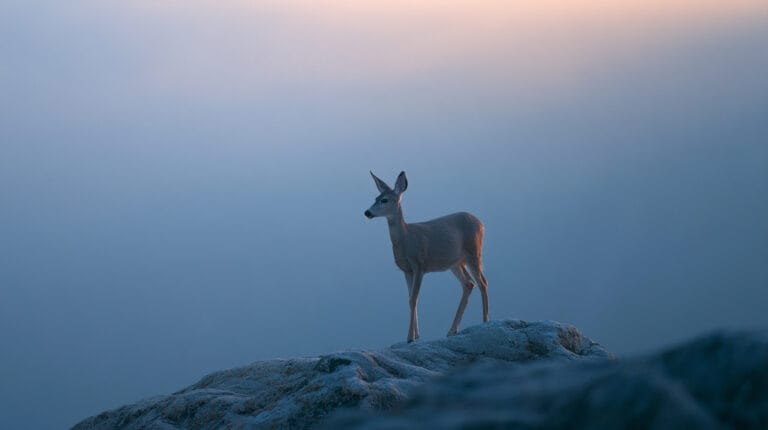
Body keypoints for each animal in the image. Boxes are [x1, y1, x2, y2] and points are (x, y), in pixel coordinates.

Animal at [364, 171, 489, 343]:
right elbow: (411, 298)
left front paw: (410, 337)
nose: (367, 212)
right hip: (455, 263)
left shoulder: (419, 265)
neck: (406, 239)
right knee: (469, 284)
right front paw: (417, 335)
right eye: (375, 198)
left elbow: (413, 298)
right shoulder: (406, 270)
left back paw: (485, 322)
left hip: (474, 253)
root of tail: (482, 224)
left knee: (483, 282)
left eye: (384, 200)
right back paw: (452, 330)